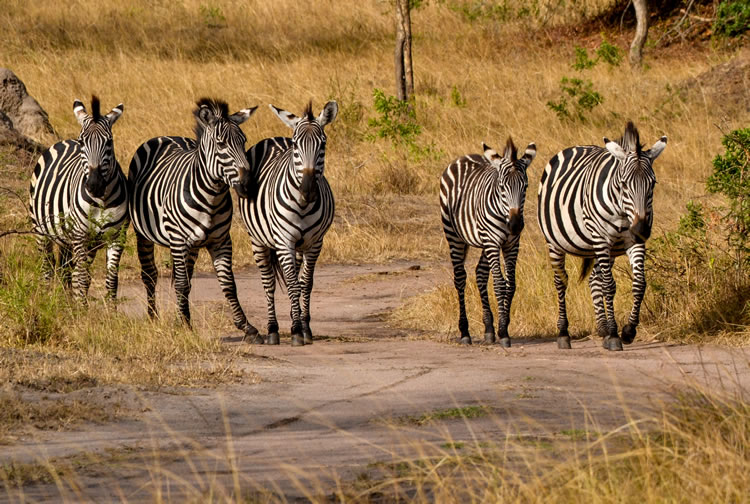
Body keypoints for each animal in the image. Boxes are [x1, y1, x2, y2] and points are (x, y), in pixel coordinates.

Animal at [29, 97, 129, 304]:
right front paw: (82, 308)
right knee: (47, 268)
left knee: (68, 271)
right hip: (41, 230)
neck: (102, 201)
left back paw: (68, 302)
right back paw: (47, 299)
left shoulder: (117, 237)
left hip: (75, 239)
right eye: (83, 142)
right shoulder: (81, 235)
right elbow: (82, 277)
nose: (94, 185)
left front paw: (110, 310)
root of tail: (65, 141)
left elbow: (110, 279)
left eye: (109, 142)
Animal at [126, 97, 262, 342]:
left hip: (195, 246)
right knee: (150, 274)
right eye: (221, 144)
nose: (248, 186)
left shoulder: (221, 241)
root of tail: (166, 135)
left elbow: (228, 285)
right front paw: (186, 326)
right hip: (144, 234)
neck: (212, 196)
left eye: (244, 142)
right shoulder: (179, 241)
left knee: (185, 278)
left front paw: (247, 327)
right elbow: (180, 283)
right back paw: (153, 317)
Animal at [241, 101, 338, 346]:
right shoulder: (285, 242)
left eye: (323, 144)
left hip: (298, 247)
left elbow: (305, 284)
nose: (308, 191)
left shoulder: (315, 243)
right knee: (269, 282)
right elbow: (293, 284)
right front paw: (295, 331)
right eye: (295, 145)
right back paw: (273, 329)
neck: (302, 206)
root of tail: (274, 138)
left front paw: (305, 328)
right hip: (258, 240)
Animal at [440, 138, 540, 346]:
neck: (504, 215)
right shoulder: (493, 242)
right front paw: (503, 332)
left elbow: (511, 284)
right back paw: (465, 332)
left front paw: (503, 326)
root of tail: (464, 157)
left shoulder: (512, 244)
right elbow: (500, 284)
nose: (516, 225)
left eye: (525, 187)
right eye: (501, 187)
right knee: (460, 278)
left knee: (480, 273)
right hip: (455, 235)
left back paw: (488, 329)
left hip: (485, 242)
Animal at [540, 121, 668, 350]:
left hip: (601, 248)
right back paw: (564, 333)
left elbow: (639, 283)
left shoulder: (633, 242)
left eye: (653, 184)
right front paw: (615, 335)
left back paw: (603, 328)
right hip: (556, 242)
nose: (641, 230)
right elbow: (609, 286)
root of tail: (576, 146)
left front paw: (627, 331)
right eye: (624, 184)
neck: (623, 213)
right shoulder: (602, 238)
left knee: (594, 279)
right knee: (561, 281)